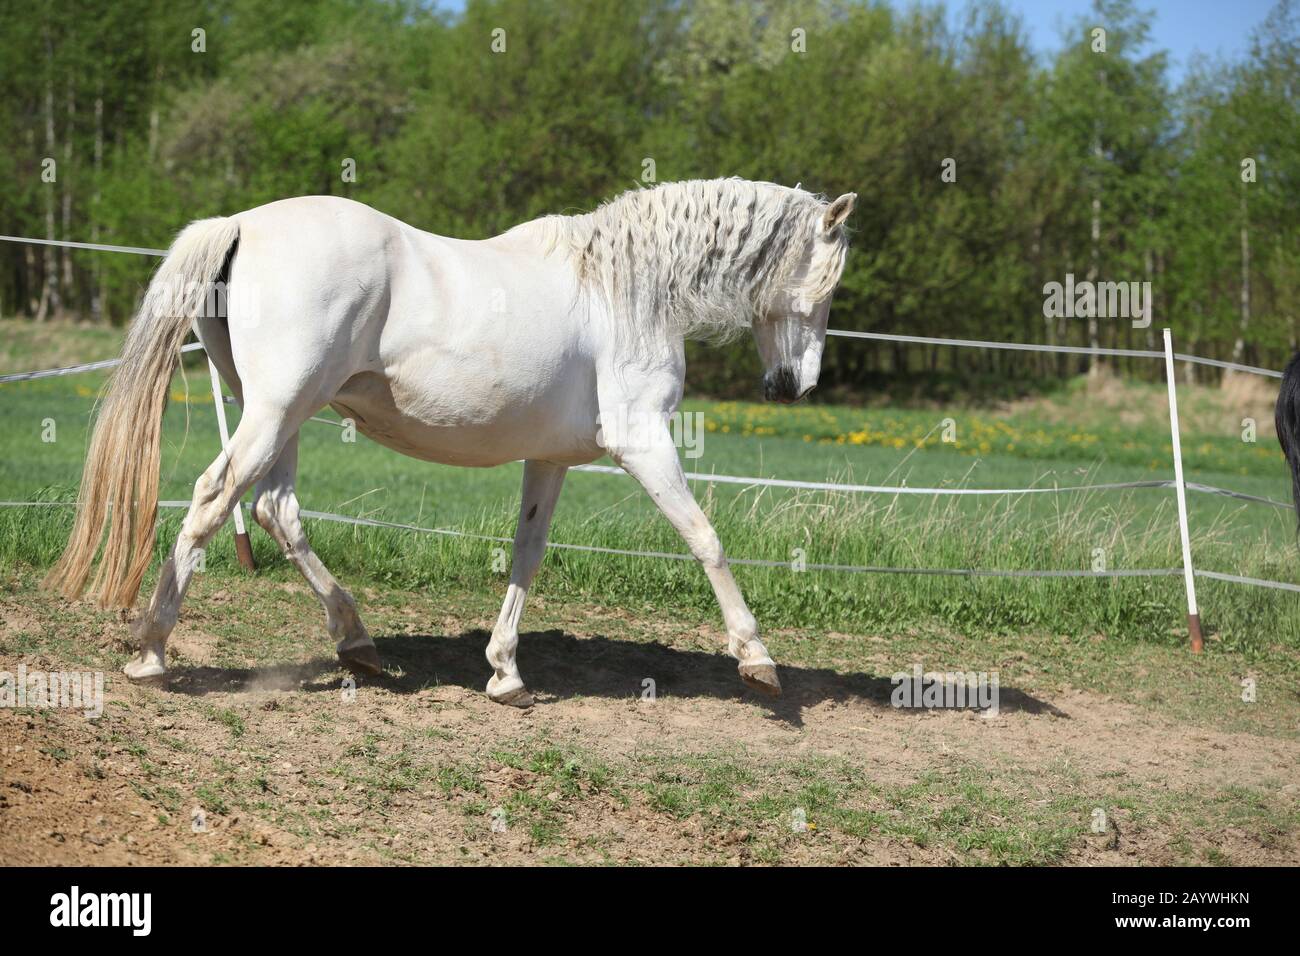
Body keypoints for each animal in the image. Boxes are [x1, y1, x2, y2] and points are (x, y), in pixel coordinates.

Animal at [46, 177, 856, 706]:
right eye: (823, 285)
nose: (795, 386)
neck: (622, 289)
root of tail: (242, 222)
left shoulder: (550, 460)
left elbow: (528, 554)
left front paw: (505, 674)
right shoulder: (643, 443)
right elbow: (705, 538)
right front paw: (757, 658)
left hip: (276, 412)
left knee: (277, 510)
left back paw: (357, 642)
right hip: (275, 410)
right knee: (218, 497)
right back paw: (152, 652)